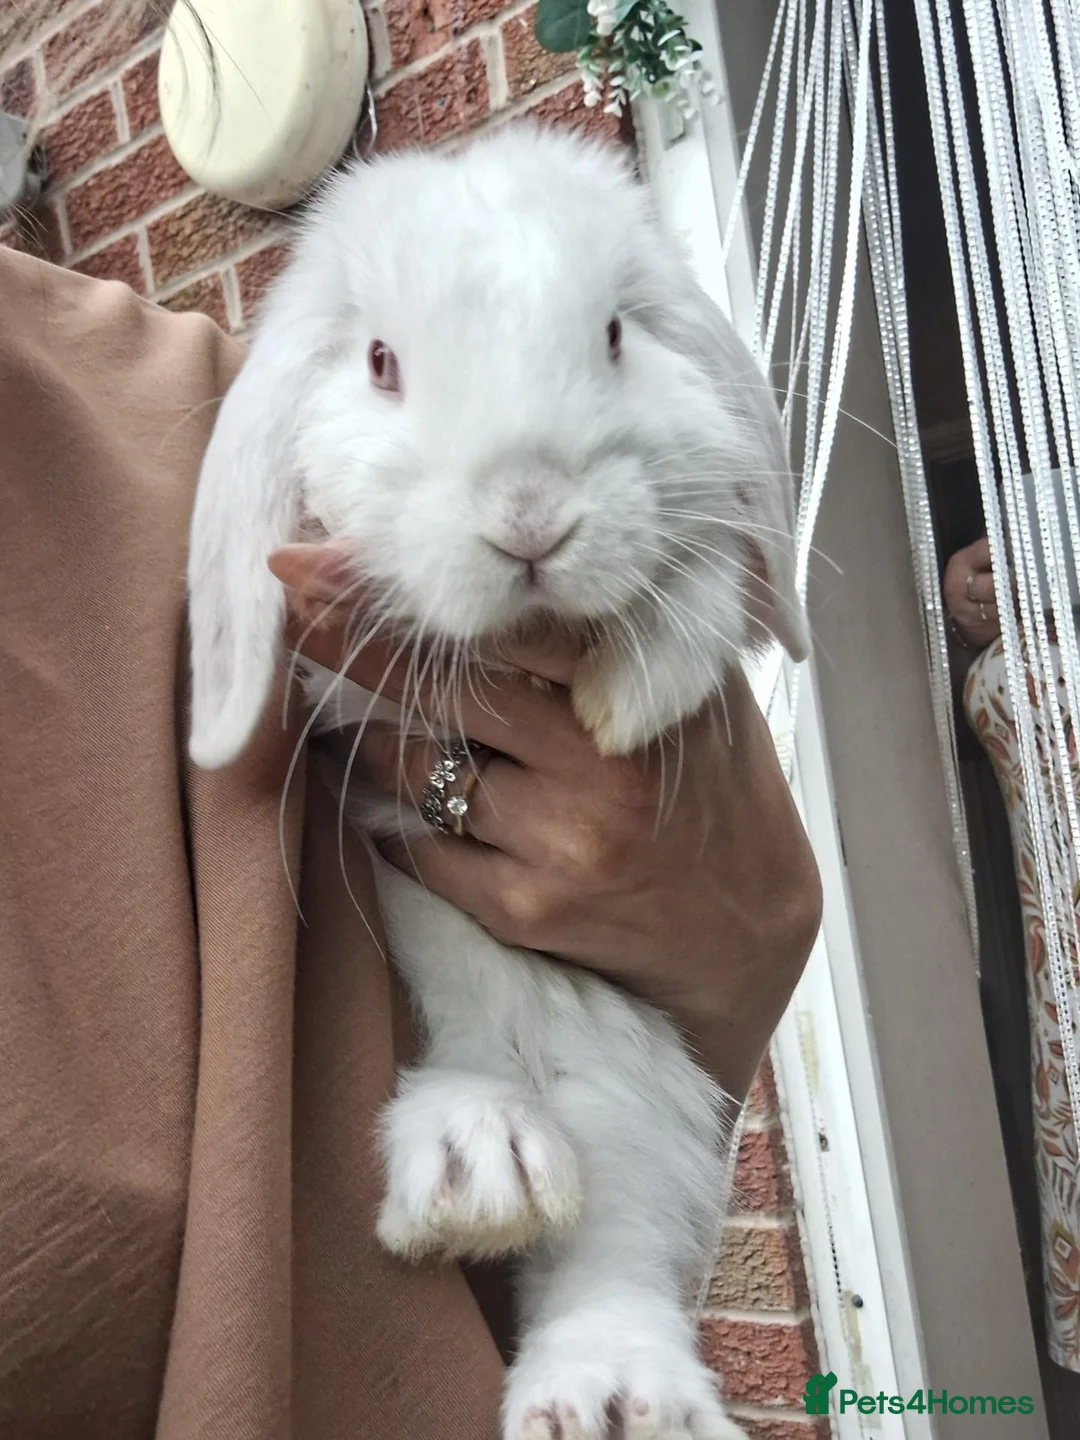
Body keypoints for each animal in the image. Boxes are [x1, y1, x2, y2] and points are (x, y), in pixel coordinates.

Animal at [187, 122, 809, 1440]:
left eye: (617, 334)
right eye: (381, 361)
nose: (532, 515)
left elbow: (699, 586)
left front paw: (628, 698)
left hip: (631, 1097)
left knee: (612, 1244)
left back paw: (613, 1389)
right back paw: (473, 1165)